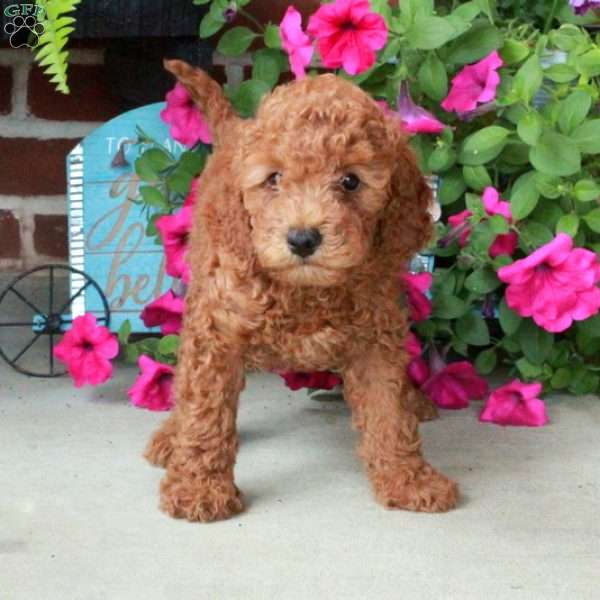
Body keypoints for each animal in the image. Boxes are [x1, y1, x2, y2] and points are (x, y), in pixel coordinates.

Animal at [143, 58, 458, 524]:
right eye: (273, 179)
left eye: (350, 181)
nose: (303, 239)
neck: (304, 290)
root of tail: (235, 130)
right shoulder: (217, 331)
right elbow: (204, 409)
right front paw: (198, 488)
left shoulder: (376, 340)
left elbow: (389, 411)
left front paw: (408, 479)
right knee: (185, 385)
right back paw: (171, 435)